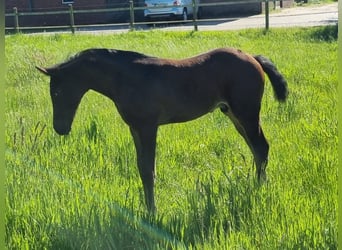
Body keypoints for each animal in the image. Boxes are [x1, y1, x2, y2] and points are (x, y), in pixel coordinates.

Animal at [36, 47, 288, 212]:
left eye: (56, 92)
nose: (60, 128)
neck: (126, 78)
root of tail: (252, 57)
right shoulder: (135, 128)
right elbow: (141, 168)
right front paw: (147, 209)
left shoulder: (148, 126)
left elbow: (149, 169)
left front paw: (152, 212)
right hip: (233, 114)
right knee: (255, 148)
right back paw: (256, 184)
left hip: (246, 112)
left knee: (261, 147)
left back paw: (259, 188)